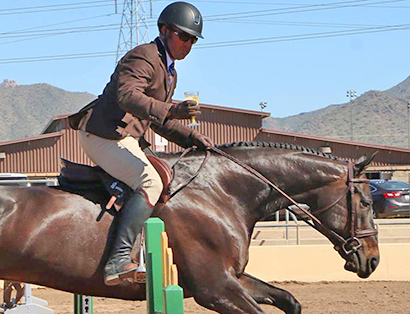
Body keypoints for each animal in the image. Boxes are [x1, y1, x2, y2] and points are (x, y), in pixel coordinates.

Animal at [0, 143, 380, 314]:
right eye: (365, 202)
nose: (373, 260)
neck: (223, 192)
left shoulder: (230, 279)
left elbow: (288, 299)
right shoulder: (216, 289)